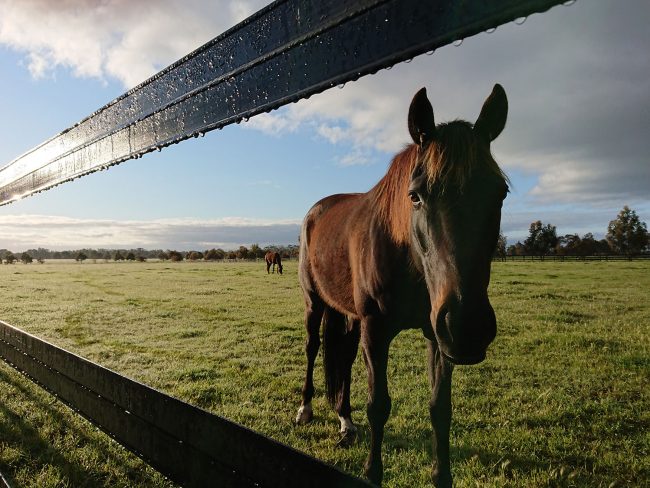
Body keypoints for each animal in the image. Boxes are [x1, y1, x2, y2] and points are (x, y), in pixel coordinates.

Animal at [295, 84, 509, 486]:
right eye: (415, 195)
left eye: (500, 192)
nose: (469, 327)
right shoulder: (377, 330)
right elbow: (379, 405)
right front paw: (372, 472)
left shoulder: (437, 335)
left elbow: (440, 408)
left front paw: (442, 476)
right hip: (315, 304)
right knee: (313, 348)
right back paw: (305, 409)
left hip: (350, 317)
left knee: (344, 357)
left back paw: (345, 422)